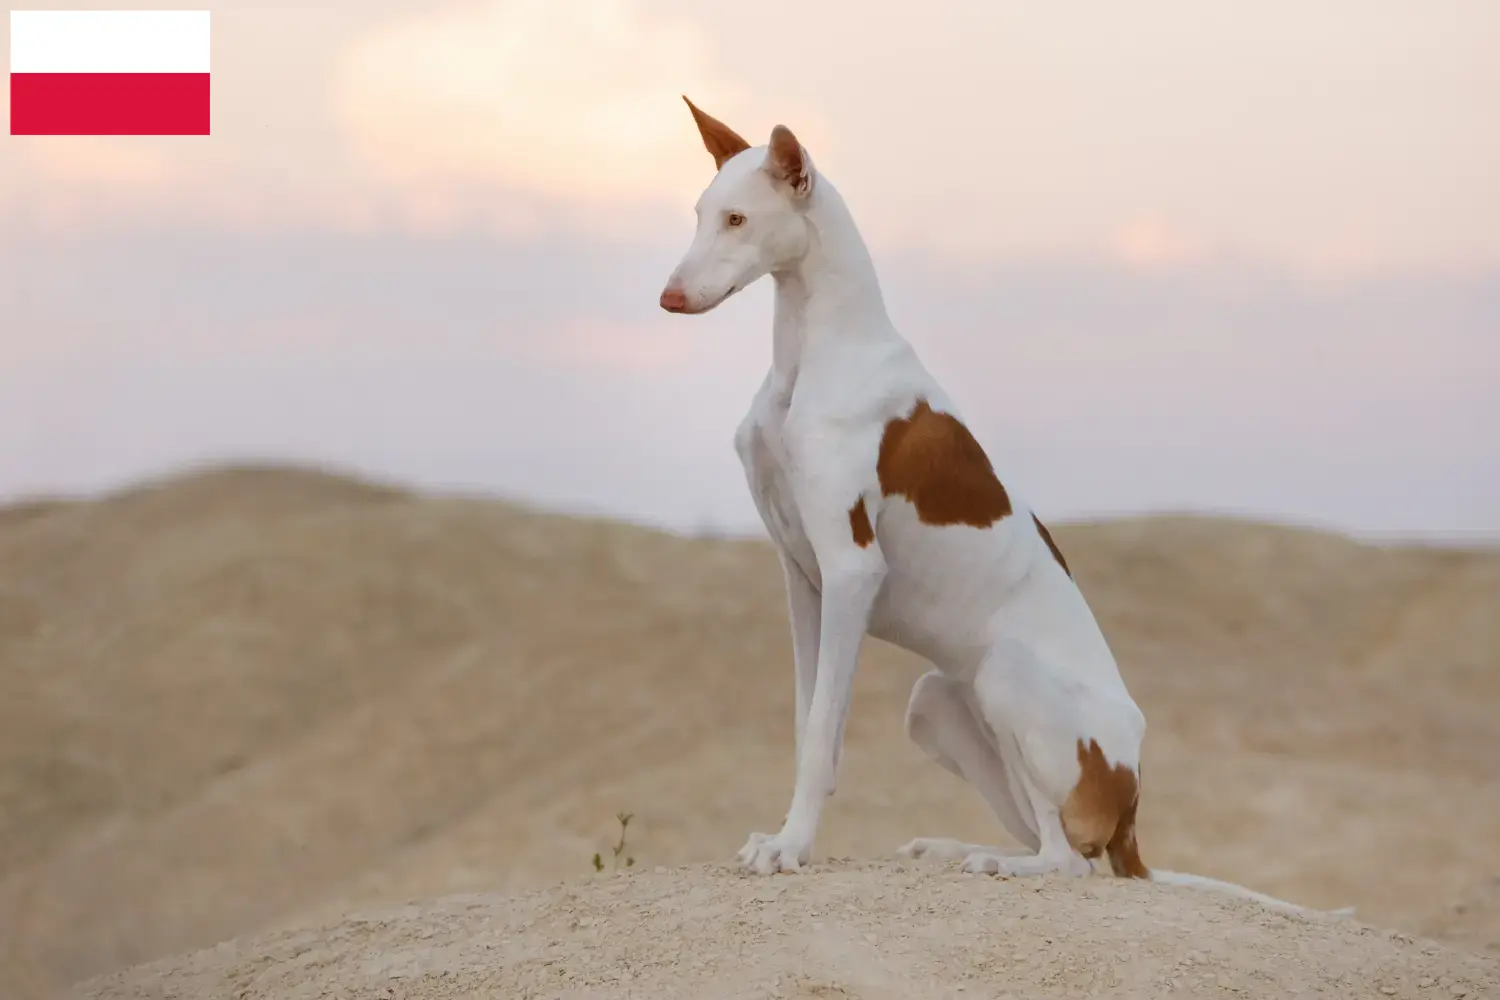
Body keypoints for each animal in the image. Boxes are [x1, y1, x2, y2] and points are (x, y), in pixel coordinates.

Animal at [657, 97, 1350, 917]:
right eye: (700, 213)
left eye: (737, 219)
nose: (668, 298)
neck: (813, 353)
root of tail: (1132, 808)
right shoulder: (803, 578)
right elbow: (807, 724)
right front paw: (789, 834)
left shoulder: (851, 572)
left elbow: (823, 733)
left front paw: (791, 847)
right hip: (937, 705)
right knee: (1048, 840)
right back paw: (959, 848)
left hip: (1007, 678)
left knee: (1067, 861)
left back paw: (997, 863)